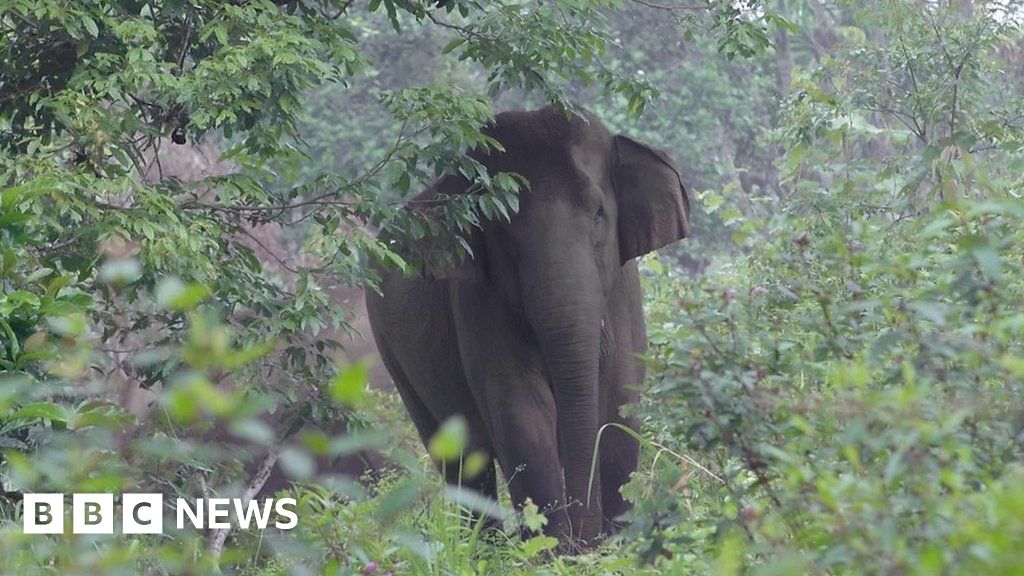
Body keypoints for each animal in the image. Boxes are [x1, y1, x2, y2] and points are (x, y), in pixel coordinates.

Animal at [364, 105, 692, 545]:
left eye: (599, 215)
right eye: (501, 231)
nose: (586, 541)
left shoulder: (624, 295)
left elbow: (619, 404)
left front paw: (609, 545)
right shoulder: (477, 301)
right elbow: (521, 411)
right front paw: (553, 548)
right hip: (391, 353)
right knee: (461, 460)